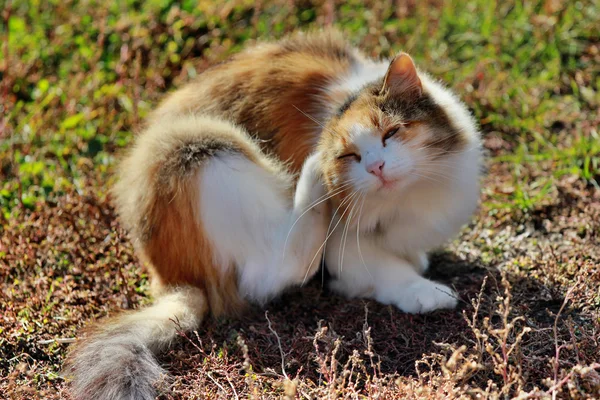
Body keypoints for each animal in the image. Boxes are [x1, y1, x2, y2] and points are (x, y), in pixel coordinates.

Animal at [64, 30, 482, 400]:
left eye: (391, 133)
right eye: (350, 156)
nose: (376, 167)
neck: (408, 201)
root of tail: (174, 279)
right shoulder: (345, 245)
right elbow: (386, 270)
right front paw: (425, 291)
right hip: (198, 145)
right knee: (268, 276)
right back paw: (311, 177)